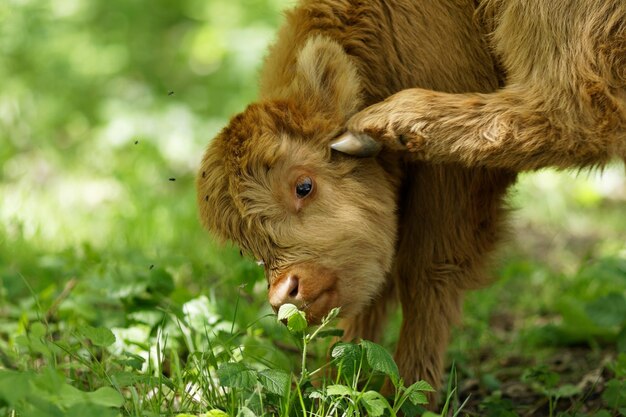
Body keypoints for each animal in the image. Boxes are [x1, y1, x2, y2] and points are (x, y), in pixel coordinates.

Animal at [196, 0, 624, 402]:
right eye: (246, 247)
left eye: (304, 186)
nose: (283, 294)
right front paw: (336, 382)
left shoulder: (452, 182)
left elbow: (426, 272)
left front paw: (405, 393)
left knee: (569, 113)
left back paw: (388, 121)